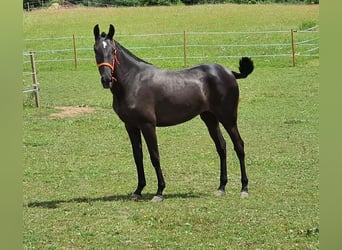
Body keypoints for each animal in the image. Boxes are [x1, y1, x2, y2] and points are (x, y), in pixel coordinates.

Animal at [93, 24, 254, 202]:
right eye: (95, 49)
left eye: (113, 50)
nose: (106, 80)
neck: (134, 81)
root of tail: (230, 73)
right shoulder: (130, 126)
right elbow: (138, 157)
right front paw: (138, 190)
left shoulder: (148, 125)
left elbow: (154, 156)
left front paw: (159, 192)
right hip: (210, 118)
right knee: (222, 147)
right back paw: (221, 187)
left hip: (228, 118)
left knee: (239, 146)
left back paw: (244, 188)